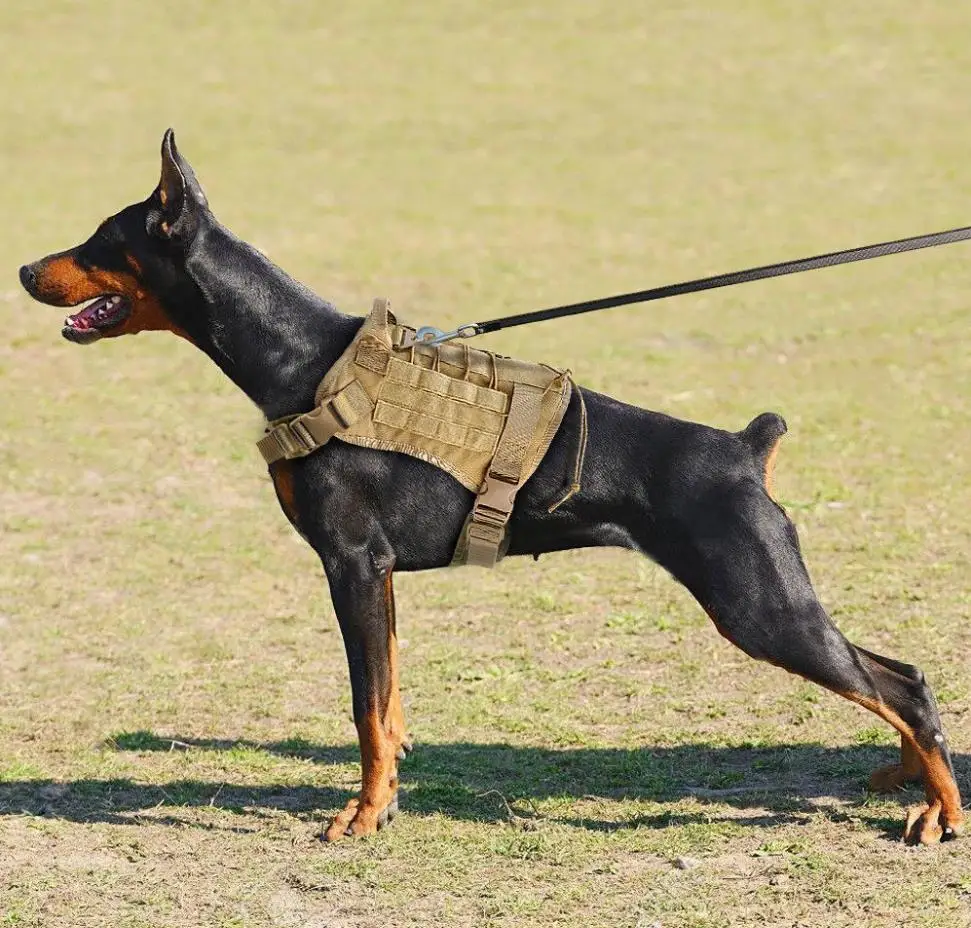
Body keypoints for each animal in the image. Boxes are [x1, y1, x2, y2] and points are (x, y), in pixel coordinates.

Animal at [20, 132, 964, 848]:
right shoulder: (380, 576)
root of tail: (743, 447)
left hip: (756, 603)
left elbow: (363, 708)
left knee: (900, 686)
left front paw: (360, 820)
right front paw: (387, 797)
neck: (302, 359)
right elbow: (389, 703)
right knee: (897, 678)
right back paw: (906, 779)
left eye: (99, 238)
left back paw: (938, 813)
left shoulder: (350, 563)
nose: (27, 270)